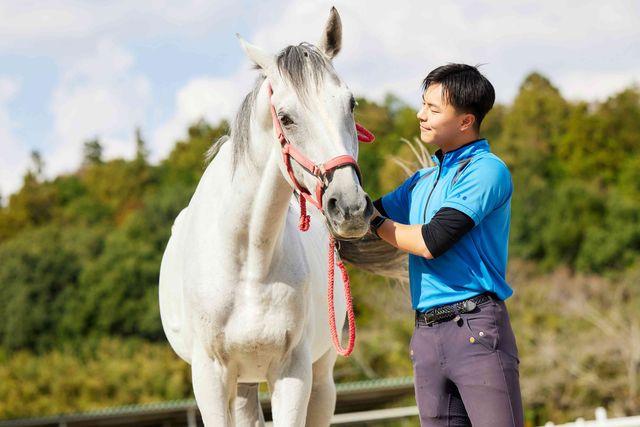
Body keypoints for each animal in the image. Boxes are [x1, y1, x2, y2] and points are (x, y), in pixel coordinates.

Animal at [159, 8, 380, 426]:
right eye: (286, 117)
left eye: (351, 104)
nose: (350, 207)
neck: (249, 260)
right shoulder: (210, 378)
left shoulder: (293, 372)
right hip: (243, 384)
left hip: (320, 377)